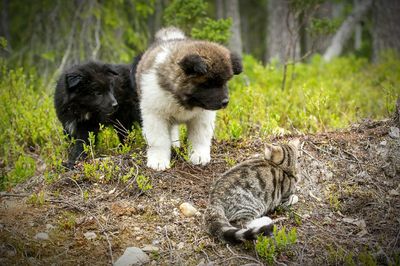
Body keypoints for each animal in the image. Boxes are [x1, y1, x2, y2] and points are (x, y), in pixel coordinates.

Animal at [134, 27, 242, 170]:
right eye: (207, 84)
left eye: (224, 82)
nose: (225, 102)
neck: (183, 100)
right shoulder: (156, 115)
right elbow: (159, 140)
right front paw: (158, 161)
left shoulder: (202, 117)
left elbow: (199, 138)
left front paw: (199, 156)